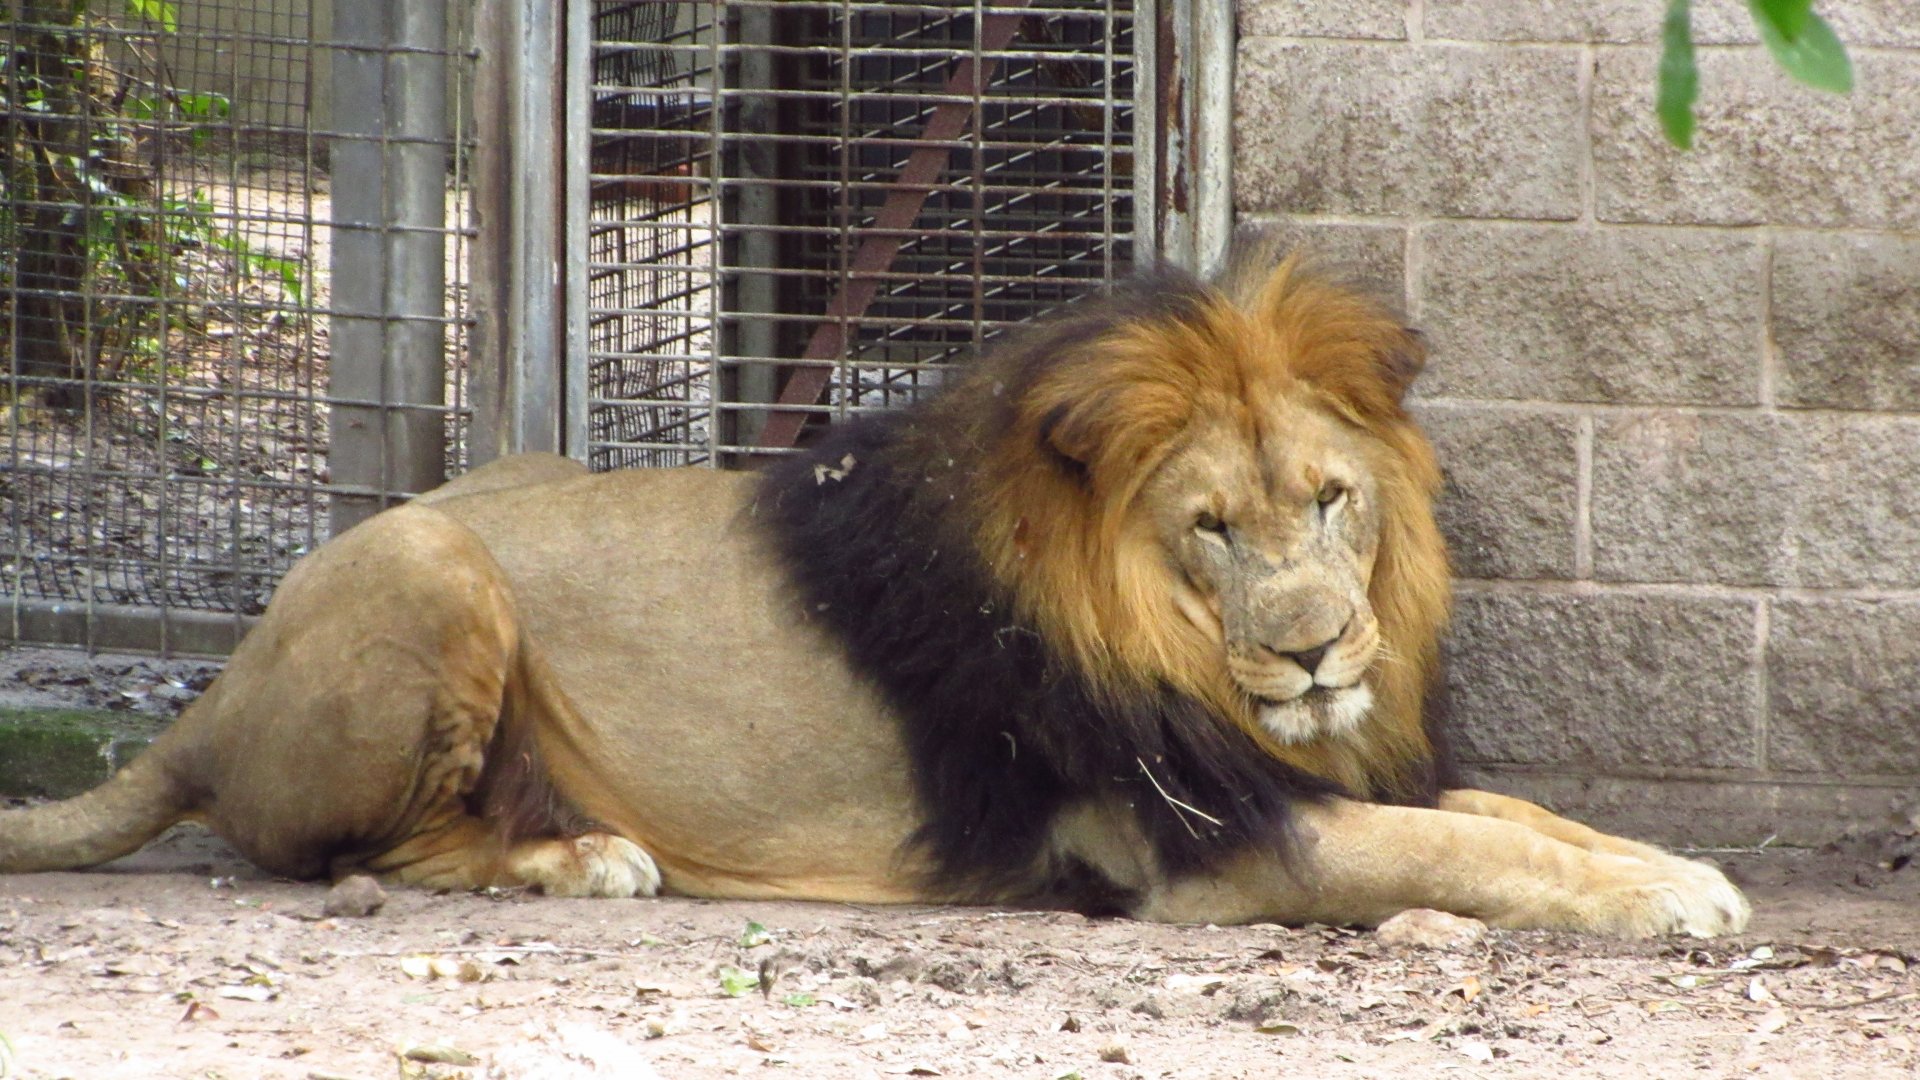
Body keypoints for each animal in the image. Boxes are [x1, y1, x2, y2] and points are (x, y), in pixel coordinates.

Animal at [0, 258, 1748, 937]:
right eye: (1209, 529)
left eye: (1331, 500)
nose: (1319, 652)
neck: (1180, 646)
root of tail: (213, 695)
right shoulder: (1206, 844)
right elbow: (1464, 849)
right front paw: (1664, 901)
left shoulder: (1289, 767)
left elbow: (1517, 815)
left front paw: (1674, 864)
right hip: (427, 567)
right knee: (366, 850)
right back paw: (579, 856)